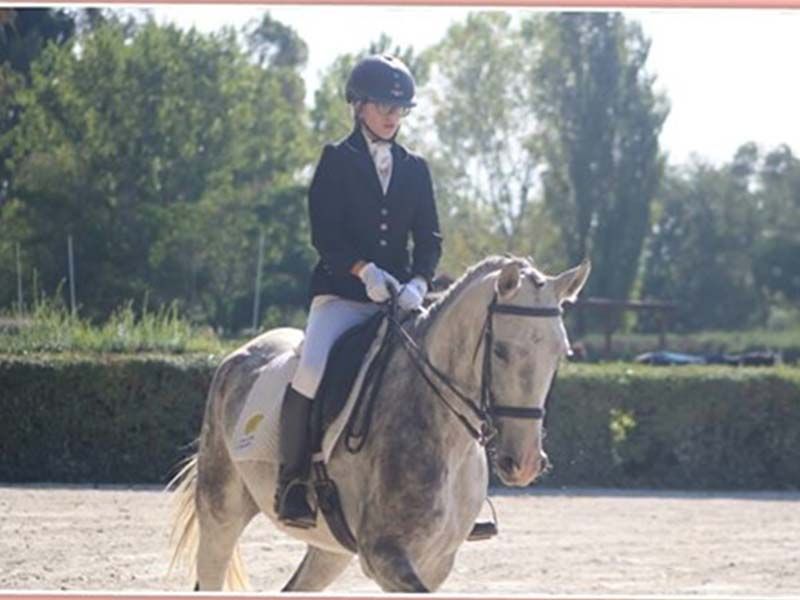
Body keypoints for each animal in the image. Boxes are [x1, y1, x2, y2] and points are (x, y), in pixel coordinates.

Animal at [169, 253, 592, 592]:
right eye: (501, 351)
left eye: (561, 353)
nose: (525, 463)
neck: (447, 436)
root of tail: (239, 354)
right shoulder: (386, 556)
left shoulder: (435, 561)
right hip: (221, 513)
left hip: (330, 548)